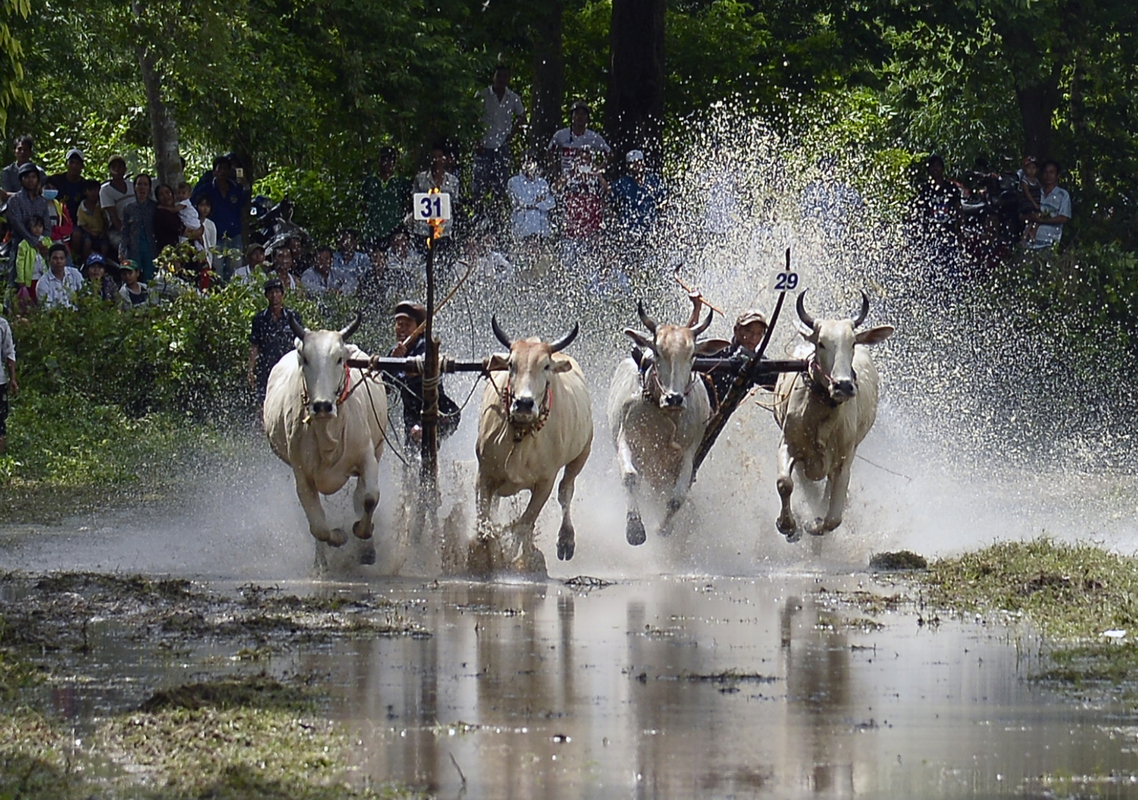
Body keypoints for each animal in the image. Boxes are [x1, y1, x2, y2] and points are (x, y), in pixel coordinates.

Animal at [263, 314, 388, 568]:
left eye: (339, 359)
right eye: (305, 359)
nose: (322, 406)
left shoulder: (367, 456)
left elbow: (369, 498)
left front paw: (363, 536)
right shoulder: (302, 476)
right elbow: (319, 526)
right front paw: (338, 537)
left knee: (359, 496)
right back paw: (321, 560)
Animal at [470, 317, 593, 576]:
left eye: (545, 366)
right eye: (511, 364)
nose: (524, 403)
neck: (521, 436)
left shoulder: (545, 482)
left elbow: (523, 525)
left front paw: (516, 561)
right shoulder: (484, 474)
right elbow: (485, 525)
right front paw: (485, 559)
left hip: (581, 454)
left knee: (566, 491)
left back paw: (565, 540)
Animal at [607, 299, 722, 546]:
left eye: (692, 354)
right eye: (657, 352)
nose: (674, 398)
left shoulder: (688, 453)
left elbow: (677, 497)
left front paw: (663, 528)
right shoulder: (624, 439)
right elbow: (630, 478)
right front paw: (635, 529)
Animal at [773, 291, 893, 542]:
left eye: (853, 343)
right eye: (821, 343)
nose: (844, 385)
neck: (821, 417)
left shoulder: (843, 461)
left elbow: (833, 518)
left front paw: (814, 524)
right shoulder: (787, 443)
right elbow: (784, 483)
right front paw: (787, 525)